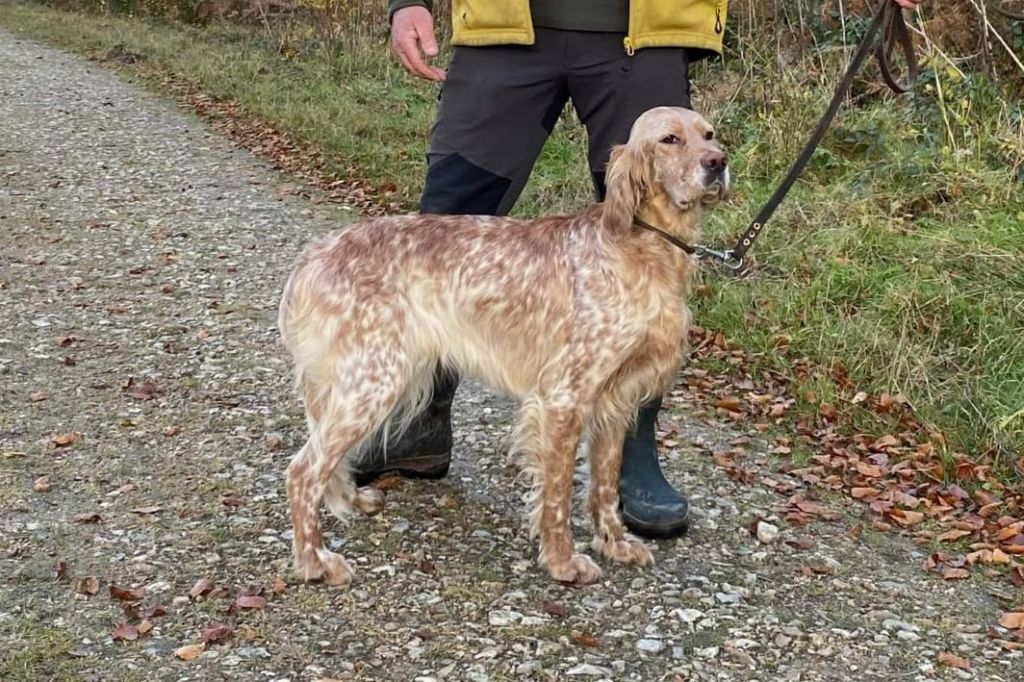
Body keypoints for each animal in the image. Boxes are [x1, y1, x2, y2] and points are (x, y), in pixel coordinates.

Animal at [280, 106, 729, 585]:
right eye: (669, 140)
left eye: (708, 135)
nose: (718, 162)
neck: (644, 244)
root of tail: (316, 254)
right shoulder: (564, 397)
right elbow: (557, 495)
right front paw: (563, 560)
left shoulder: (617, 400)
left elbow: (605, 487)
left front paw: (614, 543)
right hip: (376, 380)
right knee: (303, 470)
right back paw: (315, 560)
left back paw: (349, 501)